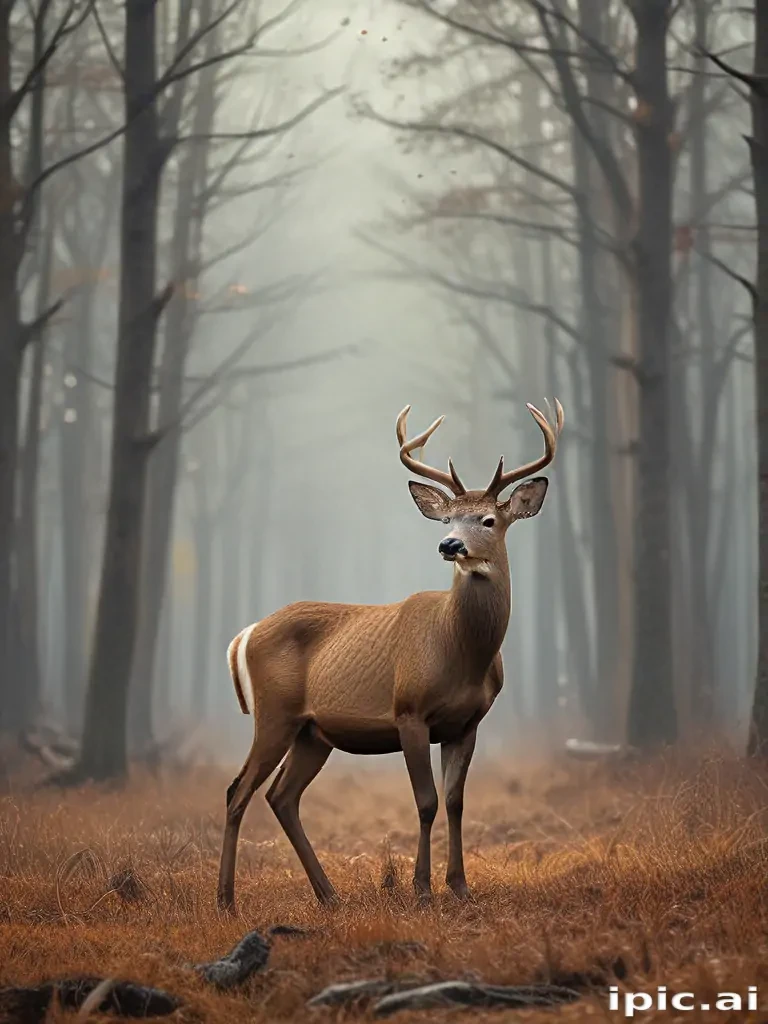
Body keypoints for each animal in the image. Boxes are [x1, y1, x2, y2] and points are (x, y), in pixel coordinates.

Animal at [217, 398, 563, 913]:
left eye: (488, 520)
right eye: (447, 519)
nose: (449, 545)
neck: (461, 651)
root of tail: (246, 634)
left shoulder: (468, 723)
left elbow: (456, 800)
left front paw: (460, 886)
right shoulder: (409, 711)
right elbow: (426, 801)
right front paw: (421, 888)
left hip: (313, 731)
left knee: (281, 796)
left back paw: (329, 896)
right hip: (274, 713)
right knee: (238, 790)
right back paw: (226, 900)